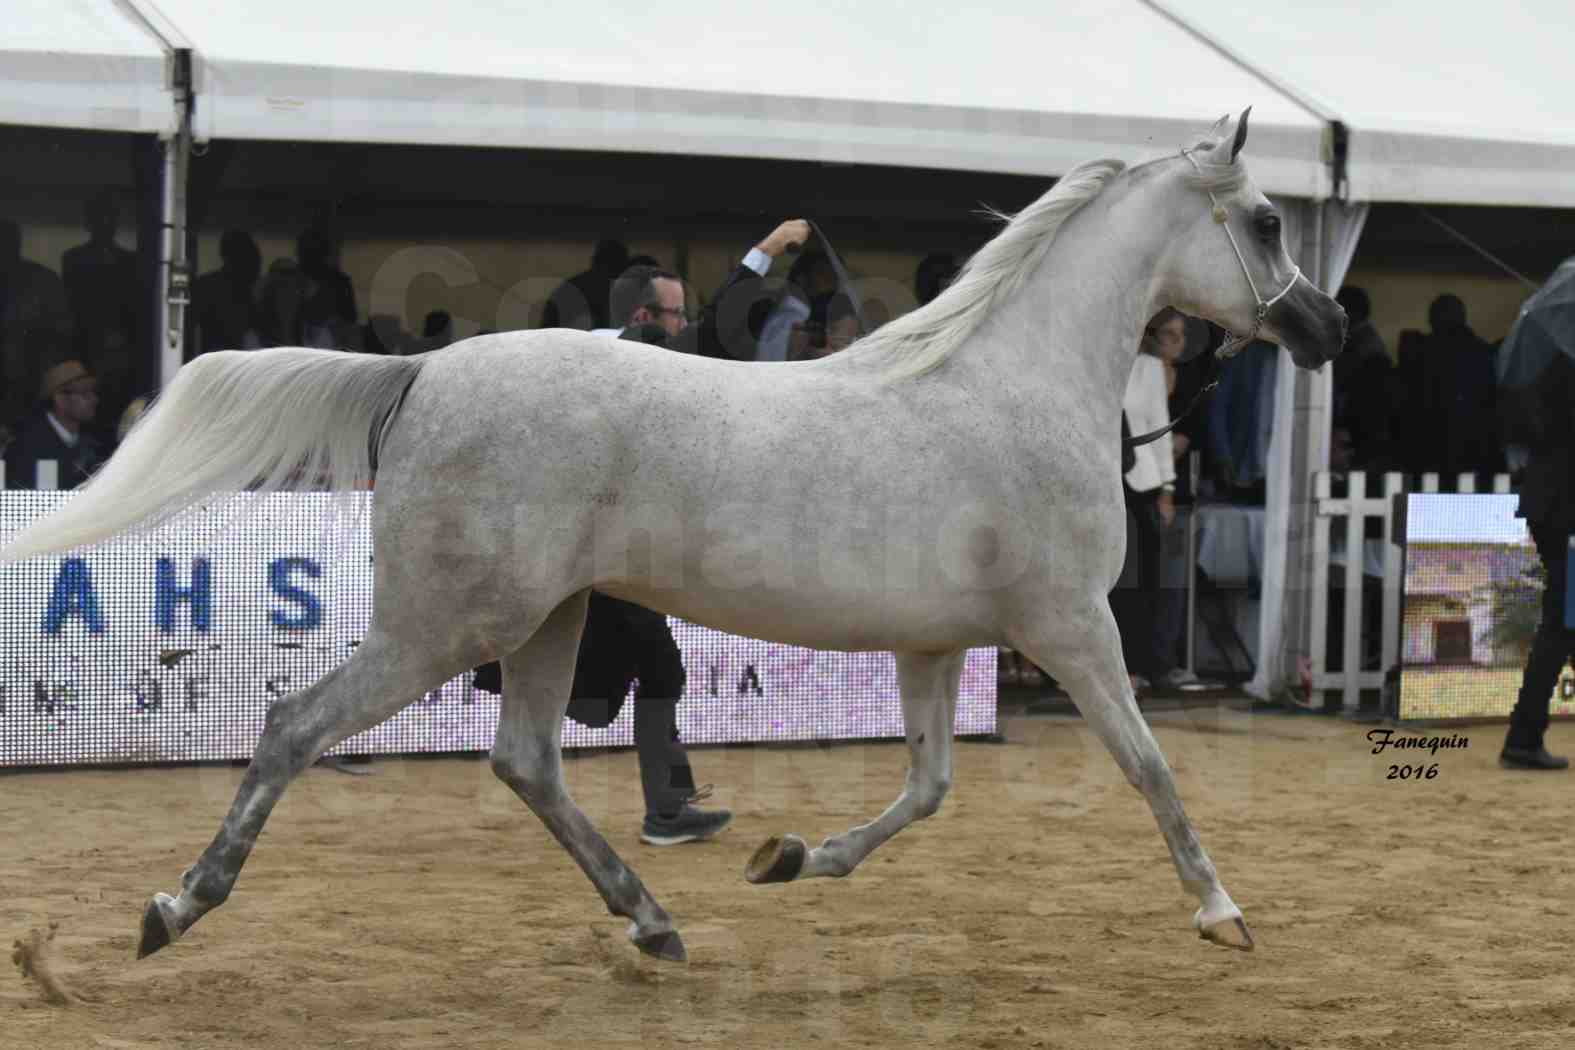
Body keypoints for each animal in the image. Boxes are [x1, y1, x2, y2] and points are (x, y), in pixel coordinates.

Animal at [6, 107, 1348, 963]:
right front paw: (1222, 912)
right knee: (297, 726)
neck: (1011, 388)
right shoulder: (1071, 630)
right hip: (454, 623)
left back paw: (654, 922)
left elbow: (927, 787)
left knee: (527, 762)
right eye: (1268, 221)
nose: (1327, 330)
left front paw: (790, 858)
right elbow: (1149, 768)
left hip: (545, 622)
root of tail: (426, 373)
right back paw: (176, 908)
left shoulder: (934, 645)